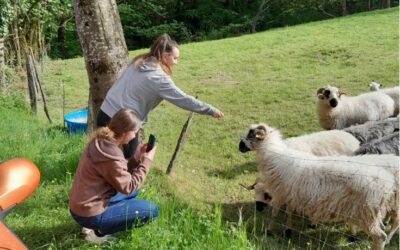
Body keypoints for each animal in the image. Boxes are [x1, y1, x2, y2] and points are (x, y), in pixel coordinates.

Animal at [239, 123, 398, 250]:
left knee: (381, 236)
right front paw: (288, 230)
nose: (239, 146)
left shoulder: (280, 194)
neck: (274, 155)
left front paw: (270, 230)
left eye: (251, 135)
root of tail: (388, 183)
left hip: (367, 213)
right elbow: (287, 213)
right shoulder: (290, 195)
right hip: (371, 213)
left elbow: (275, 213)